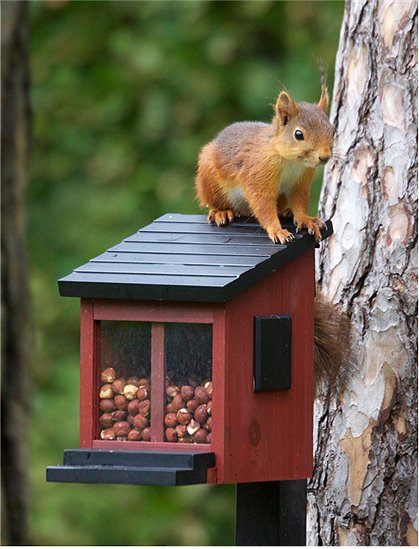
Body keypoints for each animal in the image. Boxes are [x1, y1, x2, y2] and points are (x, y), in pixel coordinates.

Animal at [196, 75, 334, 244]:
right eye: (298, 134)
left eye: (332, 130)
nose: (324, 157)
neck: (292, 161)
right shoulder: (259, 173)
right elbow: (263, 204)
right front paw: (277, 231)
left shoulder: (300, 181)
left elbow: (299, 202)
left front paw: (306, 220)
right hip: (210, 181)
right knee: (215, 203)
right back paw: (221, 212)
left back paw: (285, 211)